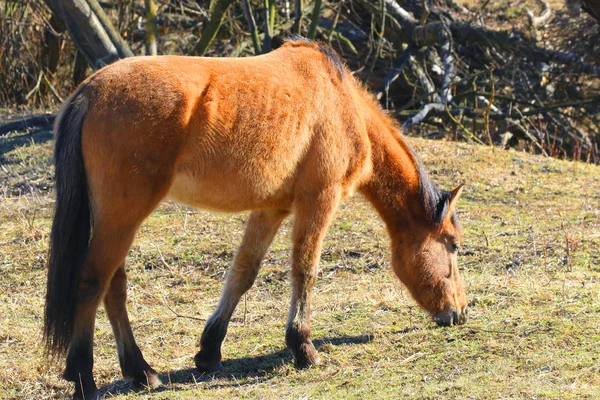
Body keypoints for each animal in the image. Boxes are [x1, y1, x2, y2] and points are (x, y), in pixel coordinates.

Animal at [45, 38, 468, 400]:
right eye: (453, 245)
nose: (460, 313)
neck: (341, 103)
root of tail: (89, 91)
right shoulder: (319, 201)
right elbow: (305, 269)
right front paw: (303, 347)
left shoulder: (271, 209)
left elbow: (243, 272)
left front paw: (210, 351)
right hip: (123, 216)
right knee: (92, 283)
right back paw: (83, 378)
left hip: (118, 219)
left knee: (113, 287)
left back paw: (141, 371)